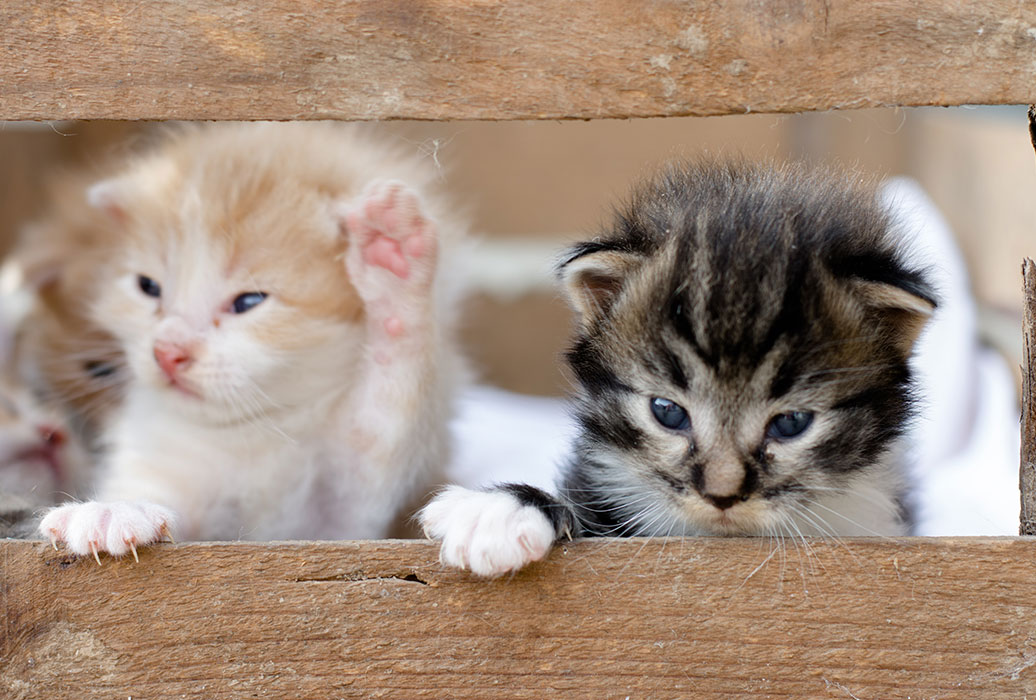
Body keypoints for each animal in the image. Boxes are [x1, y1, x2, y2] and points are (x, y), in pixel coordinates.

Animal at [38, 123, 464, 559]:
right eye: (148, 287)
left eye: (248, 302)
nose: (167, 353)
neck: (256, 426)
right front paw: (114, 509)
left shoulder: (346, 518)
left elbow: (386, 407)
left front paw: (393, 265)